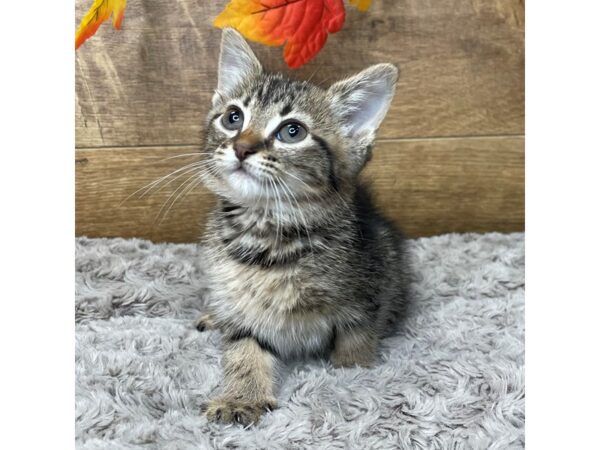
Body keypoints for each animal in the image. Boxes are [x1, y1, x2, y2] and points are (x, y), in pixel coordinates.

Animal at [197, 29, 412, 426]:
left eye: (292, 131)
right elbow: (244, 347)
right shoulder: (242, 305)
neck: (267, 235)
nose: (241, 147)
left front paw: (353, 371)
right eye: (233, 118)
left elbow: (356, 341)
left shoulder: (369, 292)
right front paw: (240, 397)